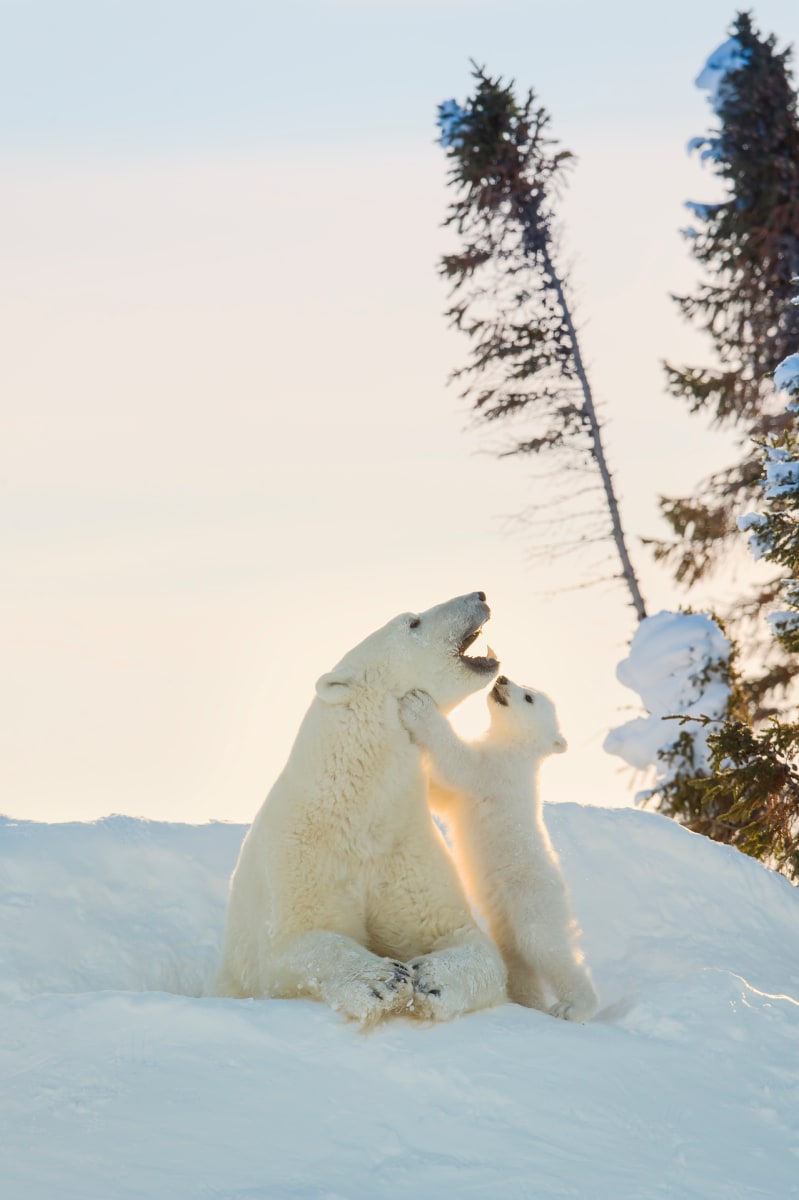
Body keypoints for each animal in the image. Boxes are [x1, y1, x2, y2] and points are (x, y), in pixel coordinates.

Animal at [213, 590, 503, 1022]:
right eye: (413, 622)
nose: (479, 595)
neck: (356, 812)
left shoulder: (404, 848)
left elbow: (466, 939)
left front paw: (429, 976)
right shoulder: (298, 856)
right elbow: (291, 945)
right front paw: (382, 979)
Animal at [400, 676, 595, 1022]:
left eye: (528, 697)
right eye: (527, 684)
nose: (503, 679)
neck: (516, 750)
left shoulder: (495, 772)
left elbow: (458, 764)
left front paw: (418, 706)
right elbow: (445, 794)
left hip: (532, 898)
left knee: (546, 946)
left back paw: (572, 1007)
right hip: (505, 917)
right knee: (518, 962)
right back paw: (529, 1003)